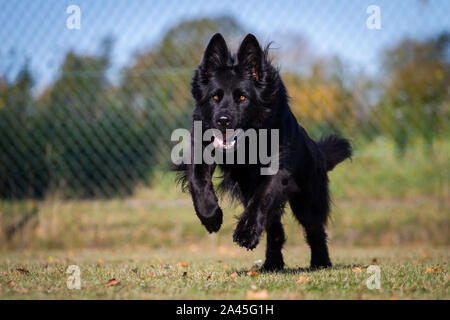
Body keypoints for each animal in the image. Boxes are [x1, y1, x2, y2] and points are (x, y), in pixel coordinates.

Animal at [176, 33, 352, 270]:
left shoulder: (276, 170)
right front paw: (211, 216)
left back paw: (320, 262)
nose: (223, 120)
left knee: (314, 230)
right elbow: (197, 181)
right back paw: (273, 263)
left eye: (242, 98)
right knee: (276, 230)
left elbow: (261, 198)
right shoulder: (202, 150)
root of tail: (318, 151)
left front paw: (246, 233)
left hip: (307, 201)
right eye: (215, 97)